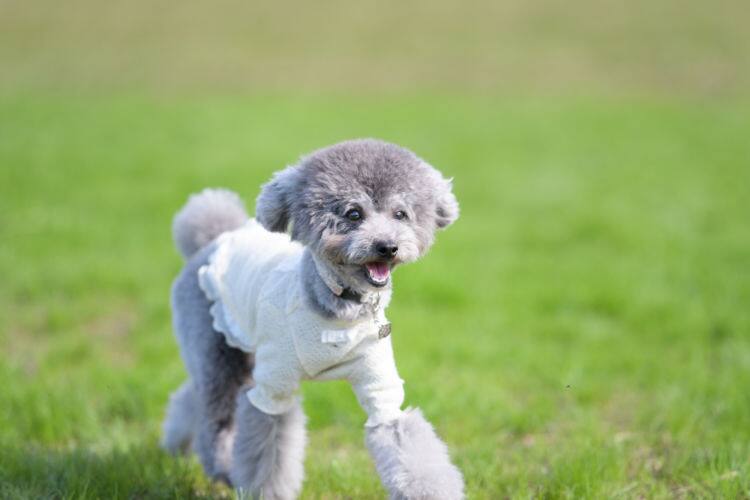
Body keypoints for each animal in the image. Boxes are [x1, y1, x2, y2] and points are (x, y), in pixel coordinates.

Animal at [163, 139, 464, 498]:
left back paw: (175, 443)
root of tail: (214, 238)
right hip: (214, 345)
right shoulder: (273, 385)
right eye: (353, 213)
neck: (337, 307)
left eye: (401, 213)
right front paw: (264, 491)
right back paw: (223, 469)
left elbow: (402, 437)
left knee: (191, 395)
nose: (387, 246)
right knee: (216, 415)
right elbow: (267, 446)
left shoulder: (380, 386)